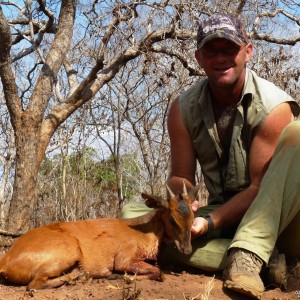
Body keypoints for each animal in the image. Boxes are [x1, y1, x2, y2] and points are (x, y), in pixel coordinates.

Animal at [0, 184, 197, 290]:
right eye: (172, 219)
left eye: (193, 217)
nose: (187, 249)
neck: (145, 231)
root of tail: (5, 262)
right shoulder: (123, 259)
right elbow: (158, 273)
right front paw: (116, 276)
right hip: (68, 250)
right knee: (33, 285)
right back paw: (79, 277)